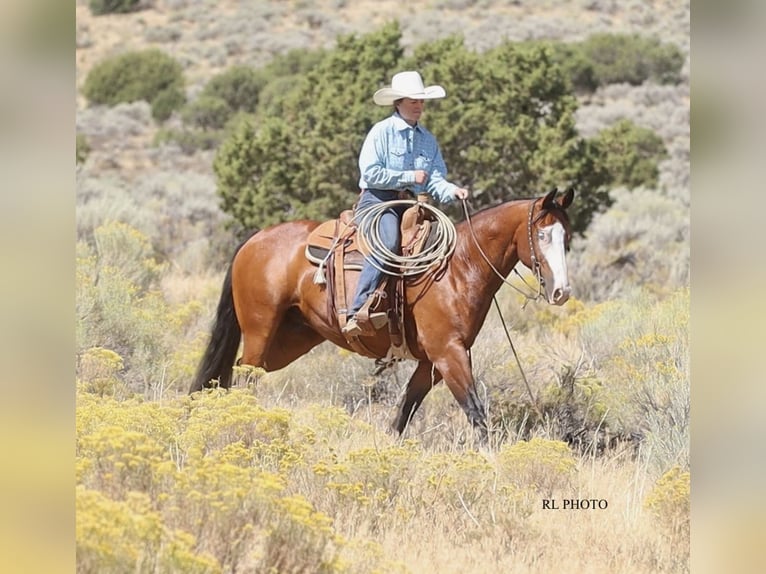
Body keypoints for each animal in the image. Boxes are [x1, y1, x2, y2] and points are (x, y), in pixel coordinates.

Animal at [191, 187, 575, 441]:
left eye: (566, 237)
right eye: (541, 234)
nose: (561, 291)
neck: (458, 267)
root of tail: (252, 241)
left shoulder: (432, 363)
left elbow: (405, 411)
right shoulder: (449, 353)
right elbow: (475, 412)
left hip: (289, 341)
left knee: (233, 374)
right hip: (260, 331)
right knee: (244, 378)